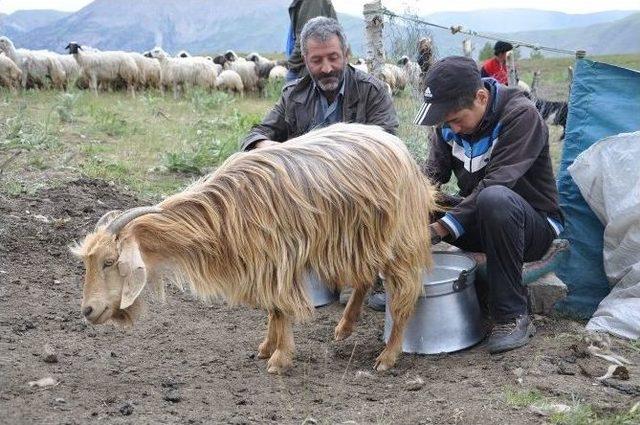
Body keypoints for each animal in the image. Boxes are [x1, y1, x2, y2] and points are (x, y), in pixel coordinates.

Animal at [72, 121, 438, 372]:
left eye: (109, 261)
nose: (87, 311)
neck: (224, 210)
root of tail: (401, 149)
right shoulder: (264, 260)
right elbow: (273, 308)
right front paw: (266, 347)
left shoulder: (278, 258)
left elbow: (282, 306)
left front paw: (279, 358)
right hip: (356, 239)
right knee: (363, 277)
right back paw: (344, 328)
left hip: (397, 238)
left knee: (404, 293)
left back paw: (387, 357)